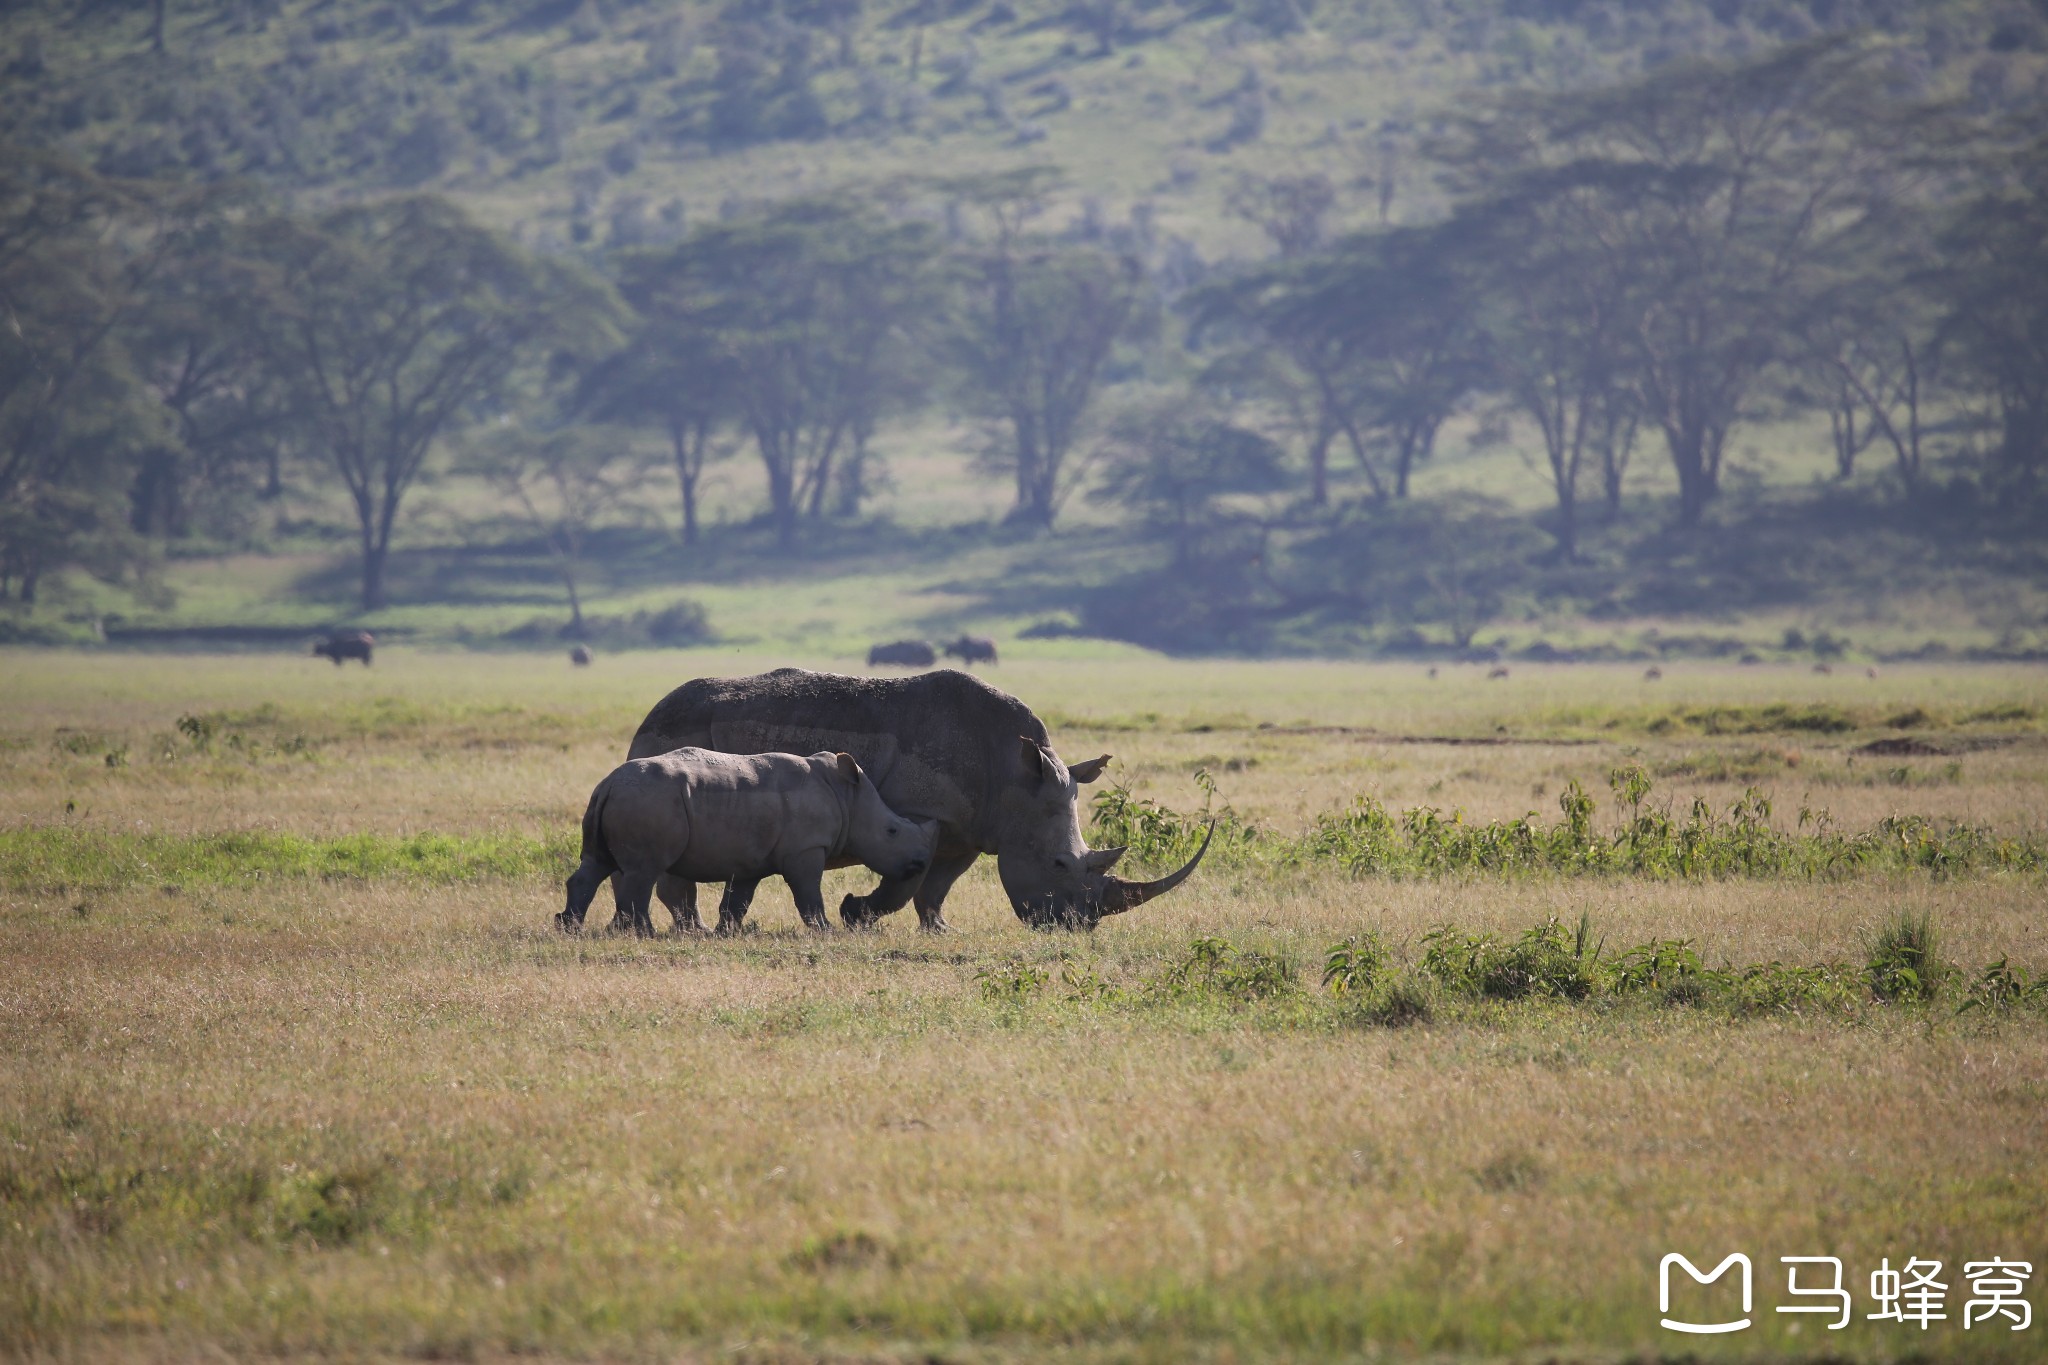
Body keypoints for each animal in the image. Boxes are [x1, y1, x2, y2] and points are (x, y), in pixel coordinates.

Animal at [565, 749, 937, 941]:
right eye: (891, 831)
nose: (920, 863)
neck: (847, 797)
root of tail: (608, 784)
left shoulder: (749, 859)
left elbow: (738, 901)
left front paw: (725, 933)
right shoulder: (806, 850)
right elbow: (808, 893)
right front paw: (825, 930)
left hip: (623, 798)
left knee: (596, 865)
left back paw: (569, 927)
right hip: (648, 800)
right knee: (644, 871)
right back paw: (645, 934)